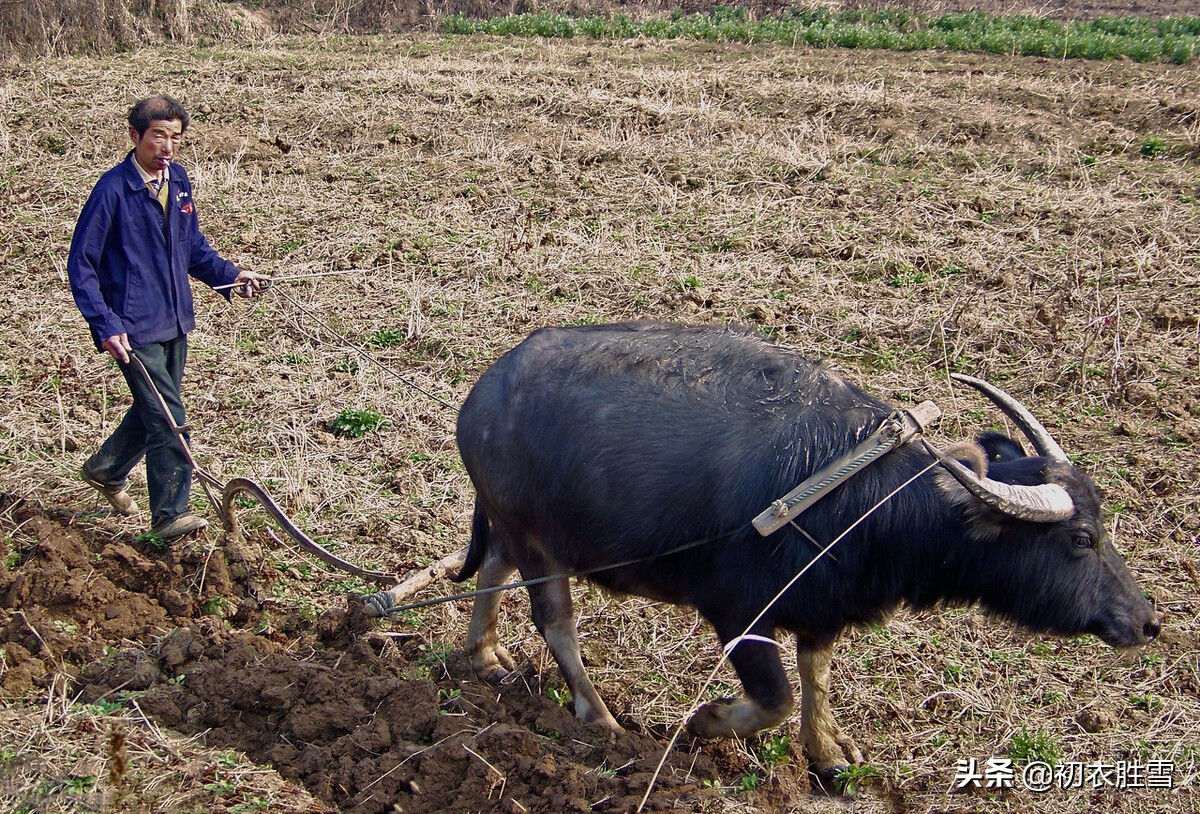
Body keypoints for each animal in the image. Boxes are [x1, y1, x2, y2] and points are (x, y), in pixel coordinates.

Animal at [448, 319, 1152, 777]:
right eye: (1080, 539)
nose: (1147, 621)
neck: (864, 500)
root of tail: (480, 397)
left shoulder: (823, 606)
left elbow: (816, 674)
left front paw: (829, 753)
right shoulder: (739, 615)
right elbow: (777, 698)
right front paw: (705, 722)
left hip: (519, 530)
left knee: (493, 567)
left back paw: (483, 655)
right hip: (538, 540)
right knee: (555, 620)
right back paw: (599, 719)